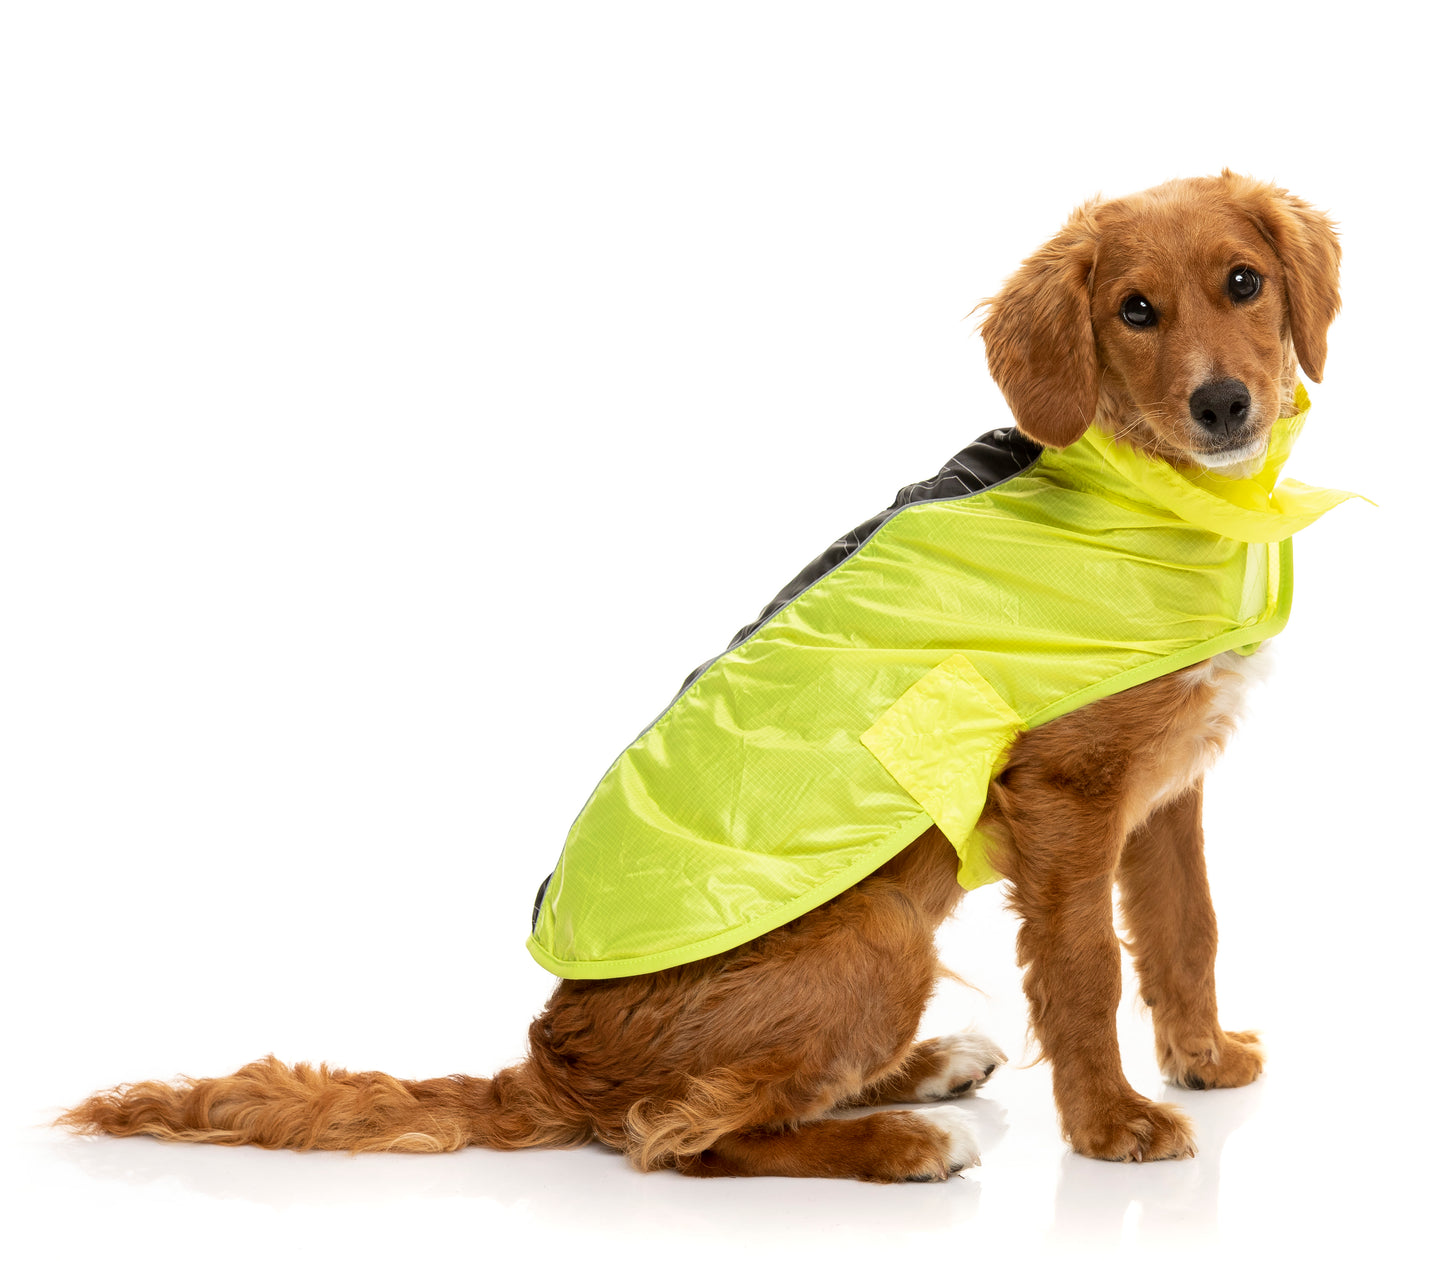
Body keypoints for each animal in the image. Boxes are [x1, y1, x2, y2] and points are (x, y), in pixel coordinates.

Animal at [61, 171, 1343, 1181]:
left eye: (1242, 282)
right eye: (1134, 311)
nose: (1221, 404)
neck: (1139, 492)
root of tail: (549, 1063)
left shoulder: (1165, 786)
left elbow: (1184, 928)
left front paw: (1201, 1059)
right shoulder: (1065, 804)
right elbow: (1084, 968)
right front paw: (1110, 1121)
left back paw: (923, 1069)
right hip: (877, 930)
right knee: (677, 1131)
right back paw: (898, 1138)